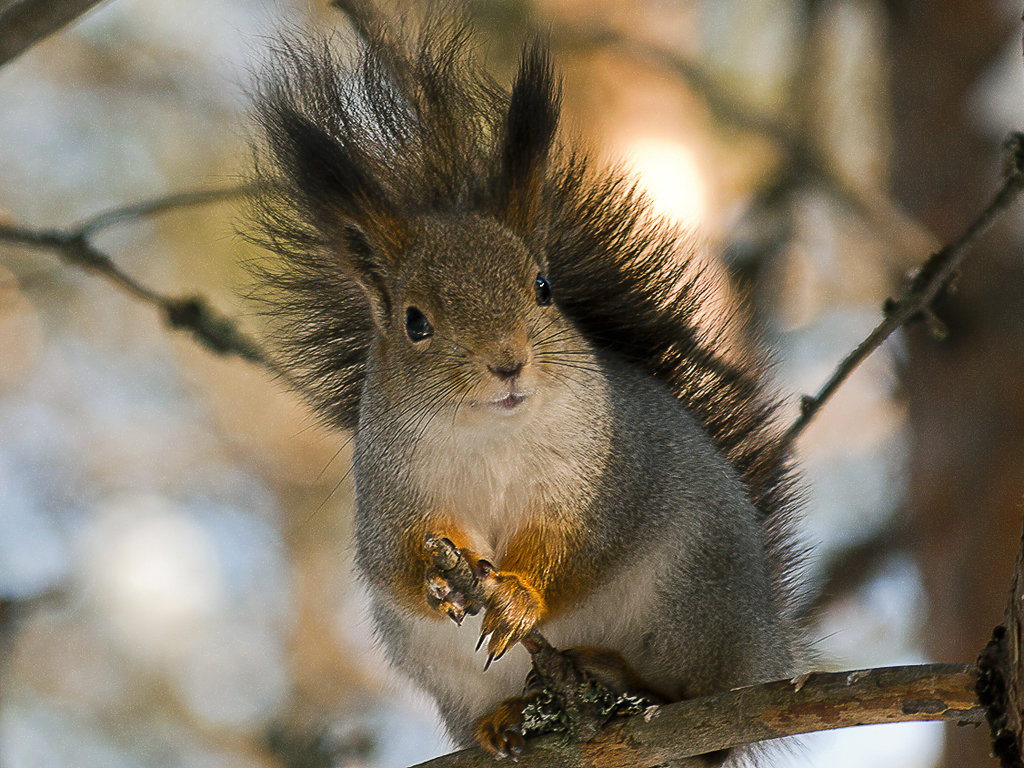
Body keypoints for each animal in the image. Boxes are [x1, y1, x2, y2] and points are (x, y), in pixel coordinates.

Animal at [245, 6, 806, 765]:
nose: (507, 363)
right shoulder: (390, 493)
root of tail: (761, 646)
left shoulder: (606, 475)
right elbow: (393, 562)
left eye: (543, 287)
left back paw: (624, 678)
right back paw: (507, 719)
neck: (492, 430)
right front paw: (432, 582)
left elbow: (583, 544)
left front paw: (519, 597)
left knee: (686, 695)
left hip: (696, 596)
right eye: (414, 322)